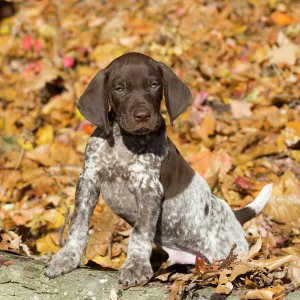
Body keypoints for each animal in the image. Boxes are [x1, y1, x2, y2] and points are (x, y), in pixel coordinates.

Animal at [44, 52, 272, 284]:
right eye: (119, 88)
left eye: (153, 85)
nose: (143, 115)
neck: (124, 142)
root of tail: (234, 216)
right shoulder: (89, 180)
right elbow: (78, 223)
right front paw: (66, 257)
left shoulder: (149, 189)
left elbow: (140, 232)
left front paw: (135, 266)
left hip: (229, 253)